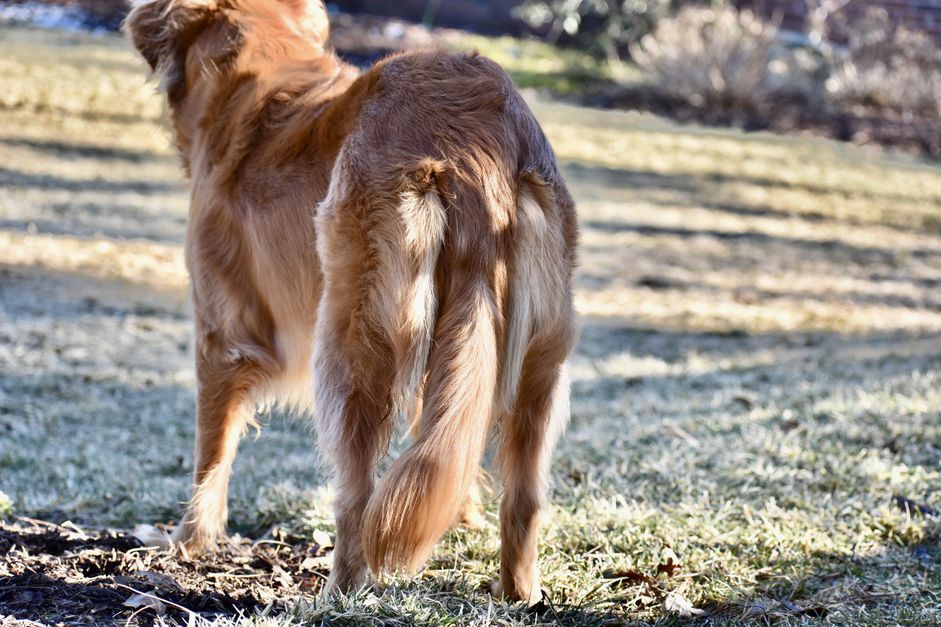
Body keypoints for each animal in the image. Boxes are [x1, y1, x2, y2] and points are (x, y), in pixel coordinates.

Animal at [123, 0, 580, 604]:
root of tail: (478, 133)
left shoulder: (221, 335)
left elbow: (211, 455)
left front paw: (186, 543)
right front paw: (461, 519)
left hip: (352, 341)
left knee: (357, 499)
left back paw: (334, 594)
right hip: (538, 362)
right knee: (519, 495)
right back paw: (518, 593)